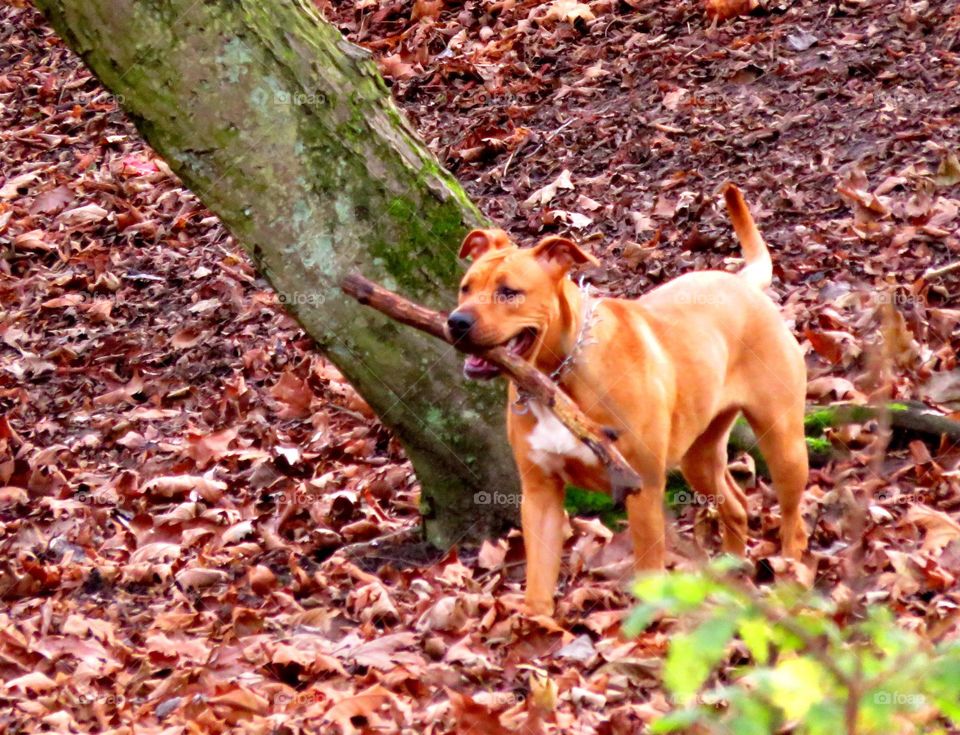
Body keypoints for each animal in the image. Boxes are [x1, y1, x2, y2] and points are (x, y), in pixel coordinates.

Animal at [446, 184, 808, 616]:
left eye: (508, 292)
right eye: (466, 288)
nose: (456, 321)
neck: (558, 378)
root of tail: (744, 284)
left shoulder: (644, 488)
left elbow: (650, 570)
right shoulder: (539, 494)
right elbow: (538, 579)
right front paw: (535, 622)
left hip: (783, 442)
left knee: (794, 522)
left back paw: (791, 579)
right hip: (699, 457)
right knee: (735, 506)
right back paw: (732, 578)